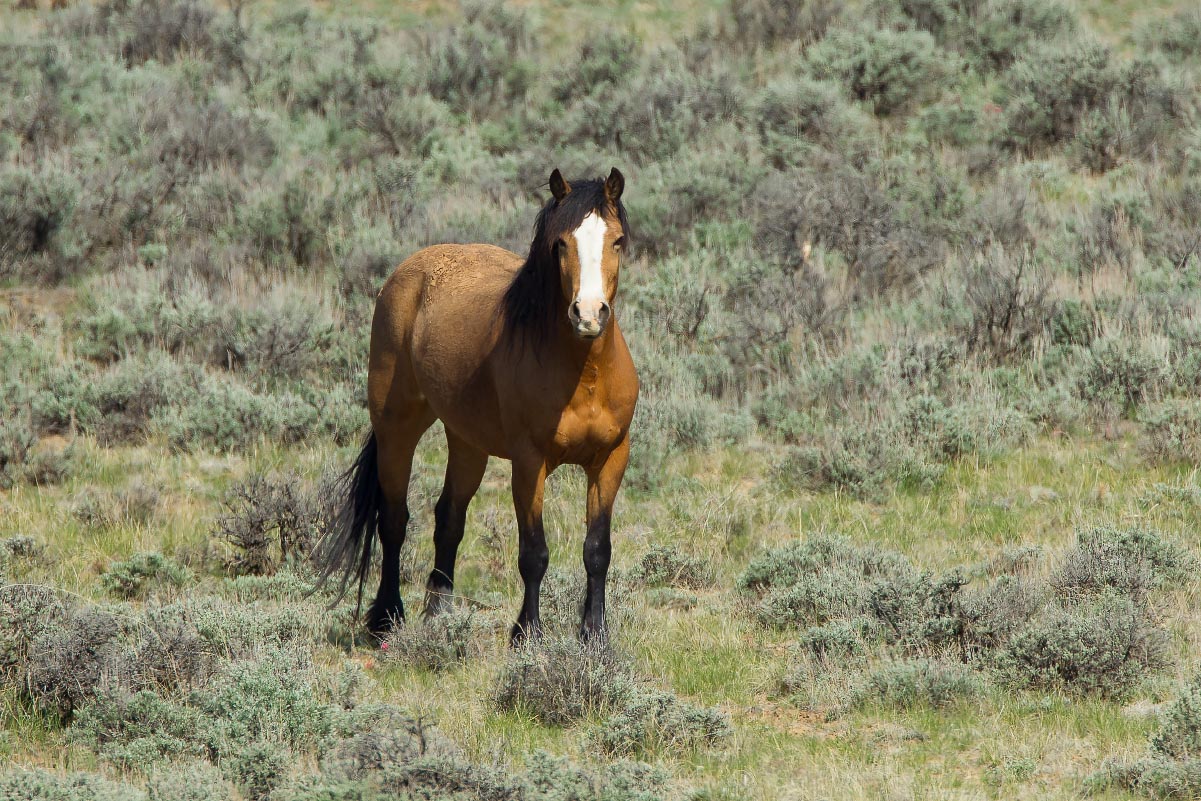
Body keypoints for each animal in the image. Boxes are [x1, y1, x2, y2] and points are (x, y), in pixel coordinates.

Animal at [317, 169, 638, 643]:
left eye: (616, 240)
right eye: (561, 243)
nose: (588, 314)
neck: (585, 375)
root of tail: (407, 272)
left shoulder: (610, 459)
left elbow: (597, 550)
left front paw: (595, 637)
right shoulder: (529, 462)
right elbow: (533, 553)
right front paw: (527, 633)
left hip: (467, 442)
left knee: (448, 518)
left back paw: (439, 615)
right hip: (397, 428)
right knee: (393, 520)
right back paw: (386, 617)